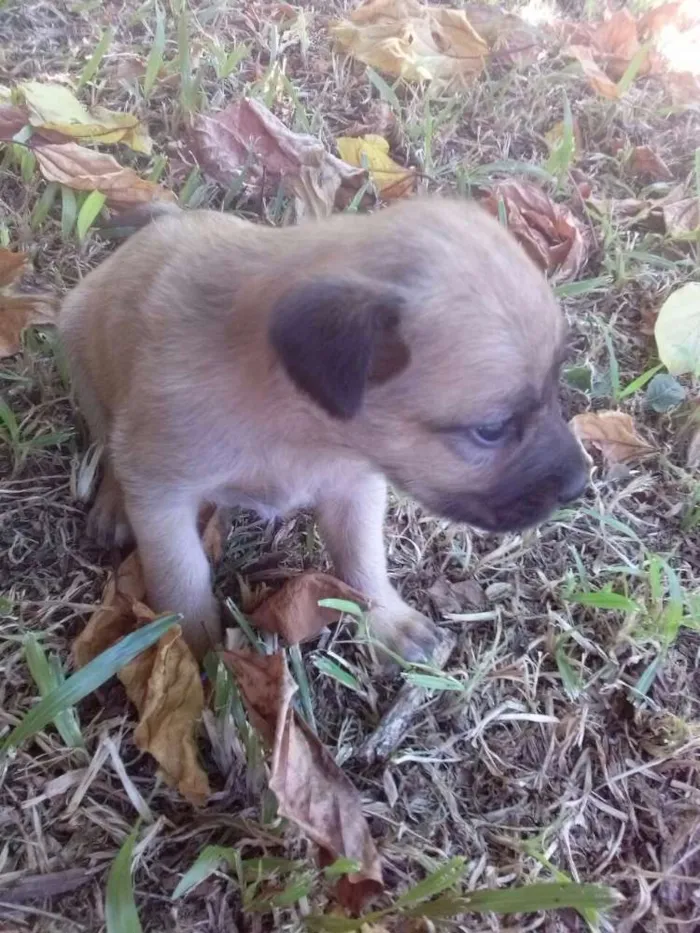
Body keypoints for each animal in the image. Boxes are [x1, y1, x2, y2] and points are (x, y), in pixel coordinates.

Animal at [58, 200, 592, 660]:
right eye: (491, 430)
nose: (580, 483)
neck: (293, 427)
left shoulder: (355, 487)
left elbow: (362, 559)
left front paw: (389, 621)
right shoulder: (161, 495)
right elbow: (181, 576)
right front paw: (191, 652)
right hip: (83, 363)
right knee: (108, 441)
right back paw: (113, 504)